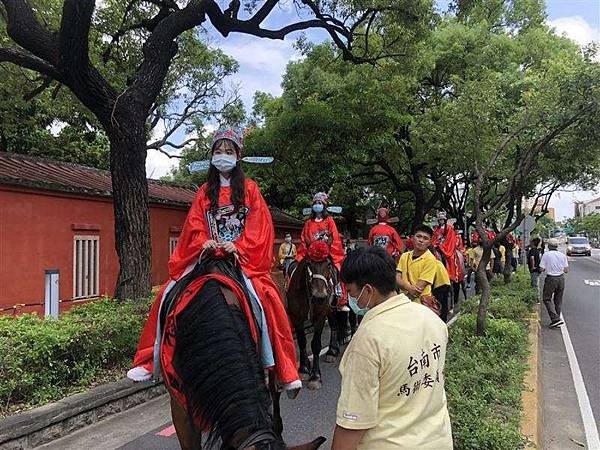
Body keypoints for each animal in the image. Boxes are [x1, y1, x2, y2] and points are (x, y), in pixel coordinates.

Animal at [286, 256, 346, 390]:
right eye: (309, 263)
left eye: (328, 264)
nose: (319, 297)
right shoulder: (296, 318)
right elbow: (302, 342)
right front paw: (303, 368)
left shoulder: (320, 315)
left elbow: (316, 345)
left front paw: (315, 377)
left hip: (331, 307)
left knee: (334, 325)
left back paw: (332, 351)